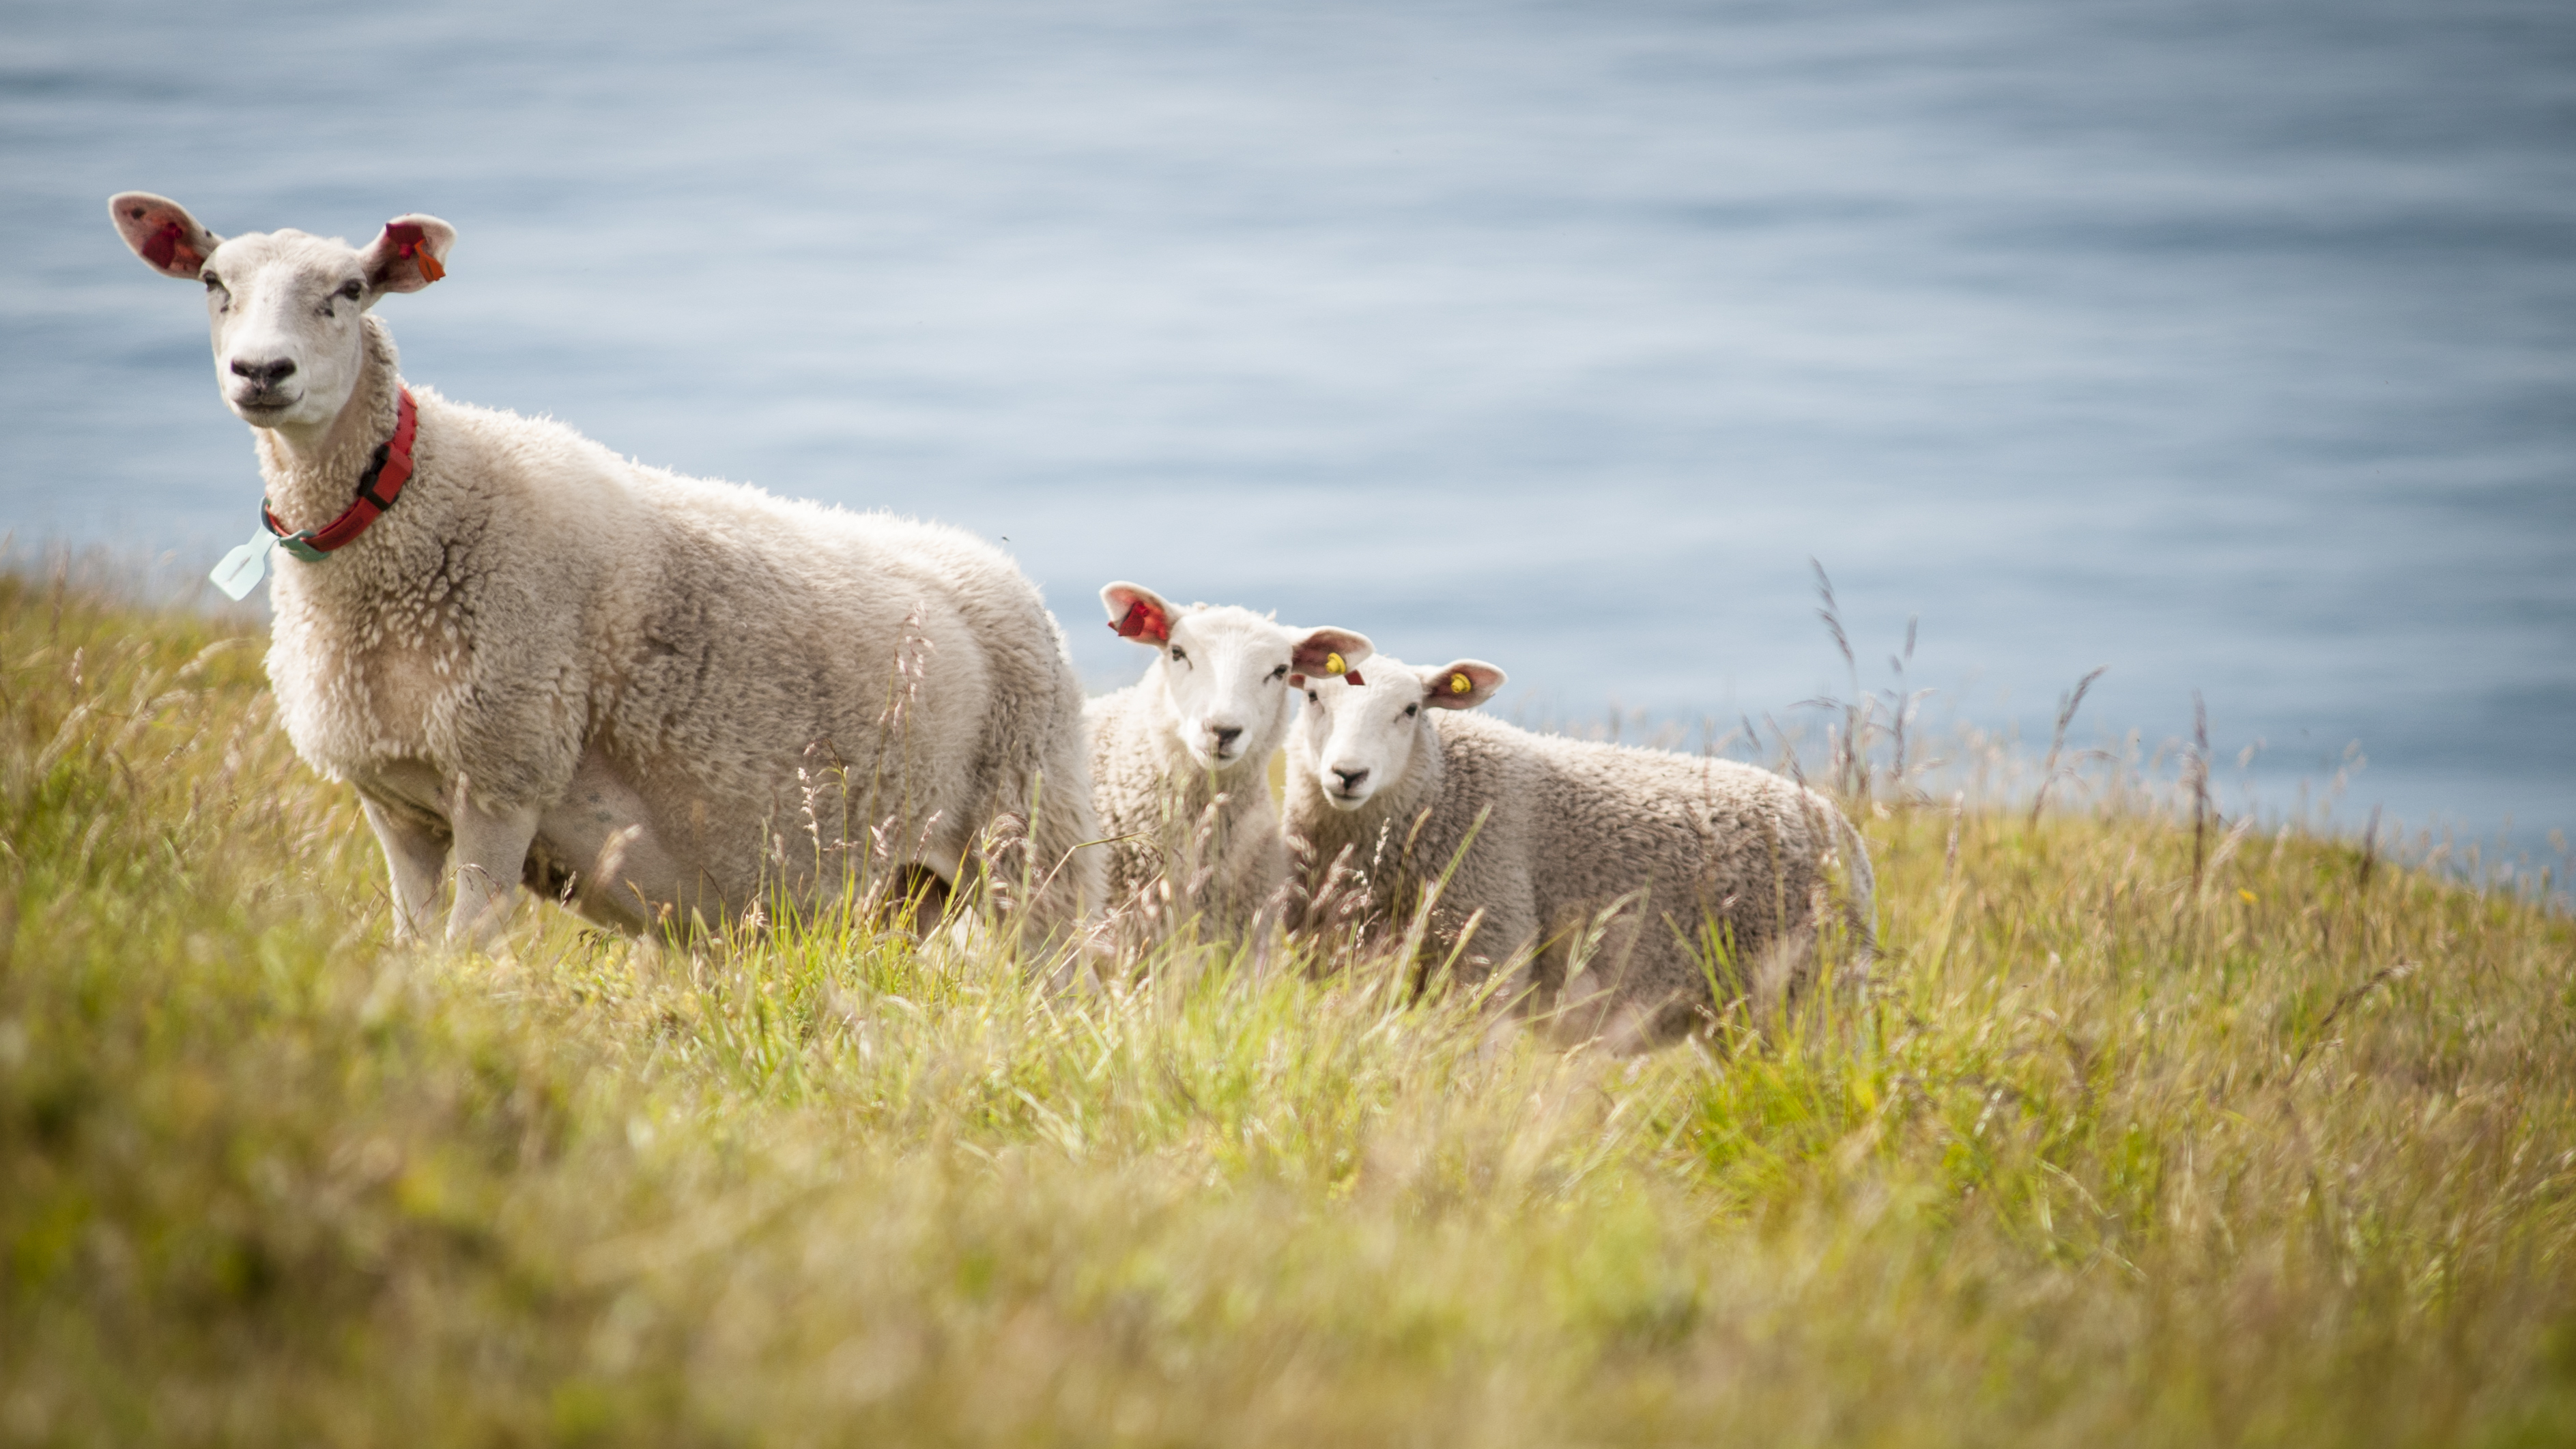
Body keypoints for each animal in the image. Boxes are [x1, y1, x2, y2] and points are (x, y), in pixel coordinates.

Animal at [110, 192, 1101, 950]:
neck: (406, 511)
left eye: (349, 290)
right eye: (214, 284)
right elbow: (414, 949)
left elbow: (469, 951)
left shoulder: (504, 769)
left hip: (1028, 843)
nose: (261, 372)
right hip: (907, 882)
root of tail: (1014, 585)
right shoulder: (396, 798)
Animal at [1283, 657, 1875, 1052]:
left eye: (1410, 709)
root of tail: (1842, 825)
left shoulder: (1487, 957)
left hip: (1803, 992)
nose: (1348, 773)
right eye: (1311, 696)